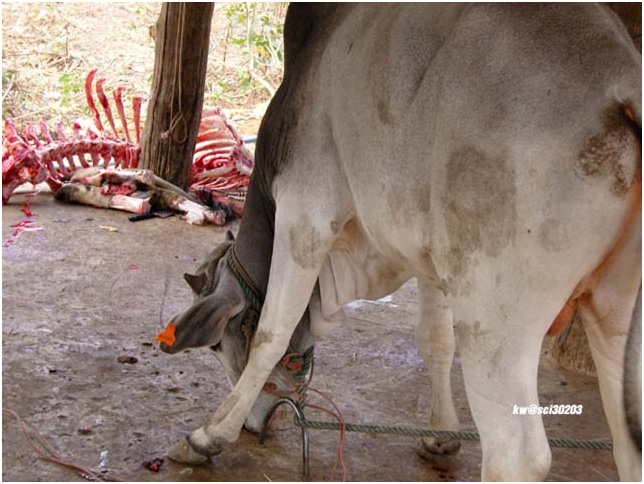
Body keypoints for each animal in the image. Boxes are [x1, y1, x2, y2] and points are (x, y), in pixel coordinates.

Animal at [158, 3, 640, 480]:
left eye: (218, 345)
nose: (259, 424)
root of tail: (621, 80)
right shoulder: (427, 258)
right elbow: (435, 341)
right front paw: (441, 436)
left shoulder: (305, 213)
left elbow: (271, 334)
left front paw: (207, 436)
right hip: (613, 312)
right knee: (626, 444)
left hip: (494, 317)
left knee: (516, 455)